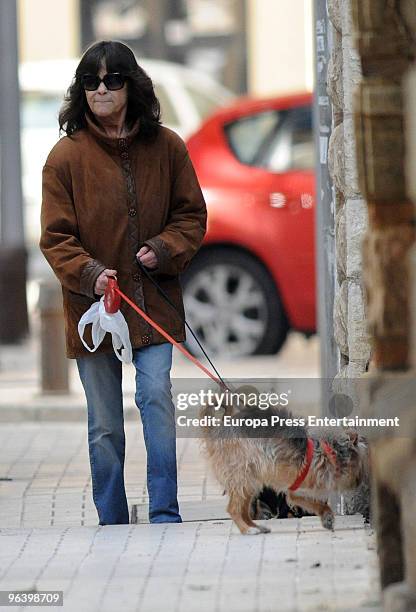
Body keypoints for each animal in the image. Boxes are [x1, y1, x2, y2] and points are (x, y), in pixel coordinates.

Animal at [202, 406, 368, 536]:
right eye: (360, 464)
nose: (359, 482)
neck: (327, 453)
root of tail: (215, 432)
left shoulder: (297, 492)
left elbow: (316, 504)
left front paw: (326, 517)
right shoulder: (301, 490)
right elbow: (318, 504)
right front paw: (327, 516)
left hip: (252, 482)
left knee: (245, 511)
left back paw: (256, 527)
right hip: (242, 477)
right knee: (234, 509)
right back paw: (247, 530)